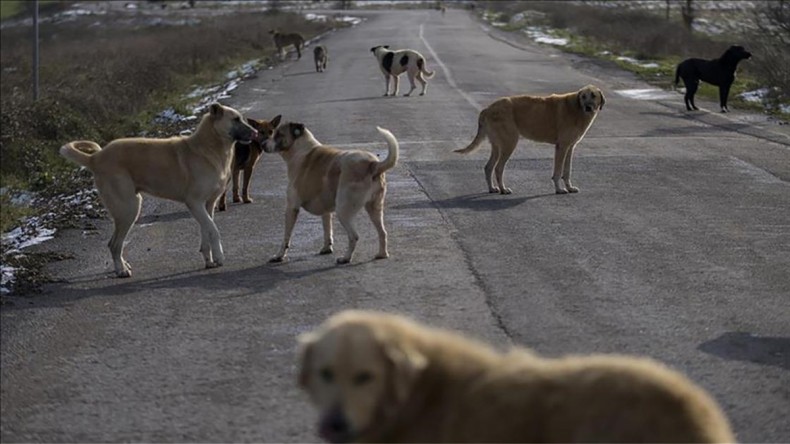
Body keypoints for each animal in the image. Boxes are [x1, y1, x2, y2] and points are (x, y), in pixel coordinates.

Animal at [59, 104, 256, 278]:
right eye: (236, 119)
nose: (255, 133)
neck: (209, 147)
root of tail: (95, 158)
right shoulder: (194, 203)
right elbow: (214, 230)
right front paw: (220, 257)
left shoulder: (207, 205)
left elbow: (206, 231)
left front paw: (209, 260)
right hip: (129, 209)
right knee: (114, 244)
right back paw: (121, 270)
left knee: (115, 244)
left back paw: (123, 265)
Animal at [264, 121, 400, 264]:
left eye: (279, 134)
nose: (262, 144)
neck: (300, 149)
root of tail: (372, 164)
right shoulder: (325, 210)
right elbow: (327, 229)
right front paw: (326, 248)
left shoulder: (291, 207)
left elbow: (286, 237)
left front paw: (279, 255)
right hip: (374, 208)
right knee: (382, 232)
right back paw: (382, 254)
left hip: (343, 210)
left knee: (354, 236)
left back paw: (346, 258)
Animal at [458, 84, 608, 194]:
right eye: (583, 96)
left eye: (593, 96)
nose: (588, 107)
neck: (576, 108)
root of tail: (487, 109)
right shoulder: (562, 147)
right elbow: (558, 171)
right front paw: (559, 189)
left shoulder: (570, 147)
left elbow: (567, 171)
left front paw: (569, 187)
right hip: (509, 144)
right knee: (498, 168)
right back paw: (503, 189)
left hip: (497, 146)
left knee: (488, 167)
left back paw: (492, 188)